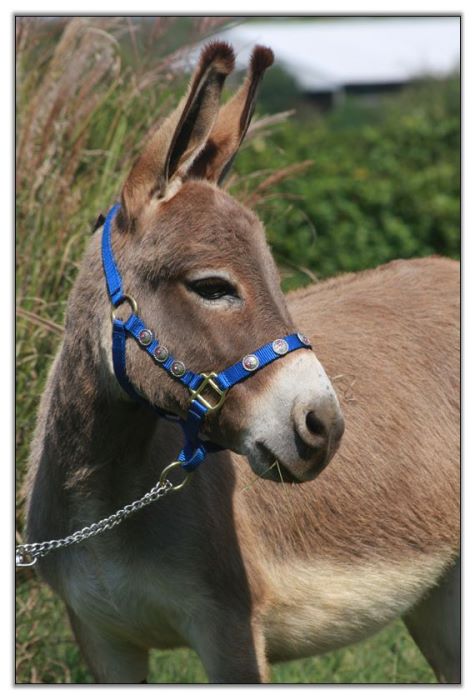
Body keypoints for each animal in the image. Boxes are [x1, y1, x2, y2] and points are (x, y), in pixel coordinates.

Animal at [23, 42, 460, 683]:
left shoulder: (229, 626)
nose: (326, 427)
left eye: (276, 279)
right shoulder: (101, 636)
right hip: (437, 598)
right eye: (212, 287)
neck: (107, 497)